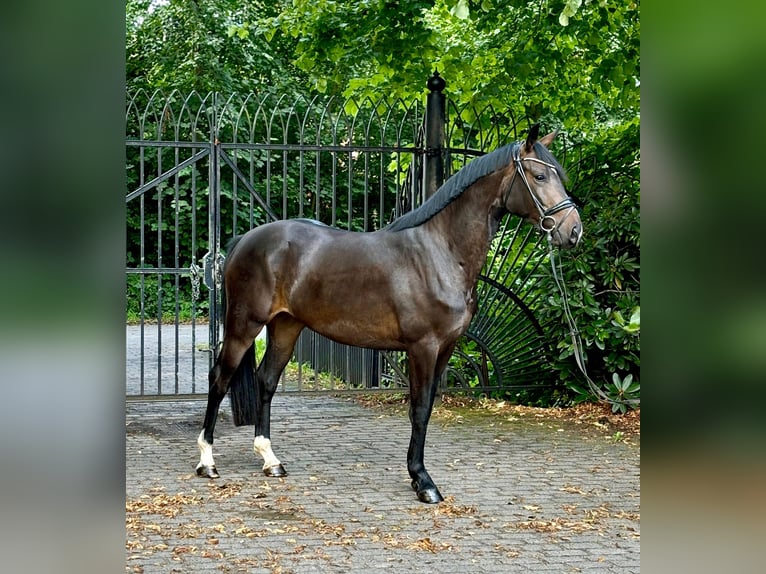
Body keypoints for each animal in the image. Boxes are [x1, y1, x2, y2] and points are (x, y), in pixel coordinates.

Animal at [196, 125, 584, 504]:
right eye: (539, 175)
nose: (573, 230)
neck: (440, 253)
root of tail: (244, 241)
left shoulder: (446, 348)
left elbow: (428, 407)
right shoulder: (422, 347)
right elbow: (419, 409)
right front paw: (423, 481)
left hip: (285, 326)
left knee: (266, 380)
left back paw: (270, 460)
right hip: (244, 324)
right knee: (219, 378)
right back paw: (207, 462)